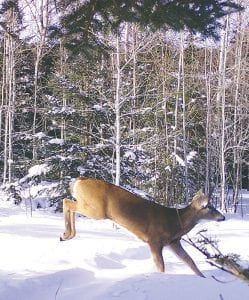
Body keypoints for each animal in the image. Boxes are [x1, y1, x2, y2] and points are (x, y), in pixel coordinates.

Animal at [60, 177, 226, 278]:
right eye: (209, 207)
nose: (223, 217)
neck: (175, 222)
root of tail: (80, 180)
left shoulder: (173, 242)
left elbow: (189, 260)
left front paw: (204, 277)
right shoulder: (154, 240)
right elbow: (161, 266)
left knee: (68, 202)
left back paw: (65, 235)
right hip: (96, 210)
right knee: (67, 202)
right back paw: (66, 234)